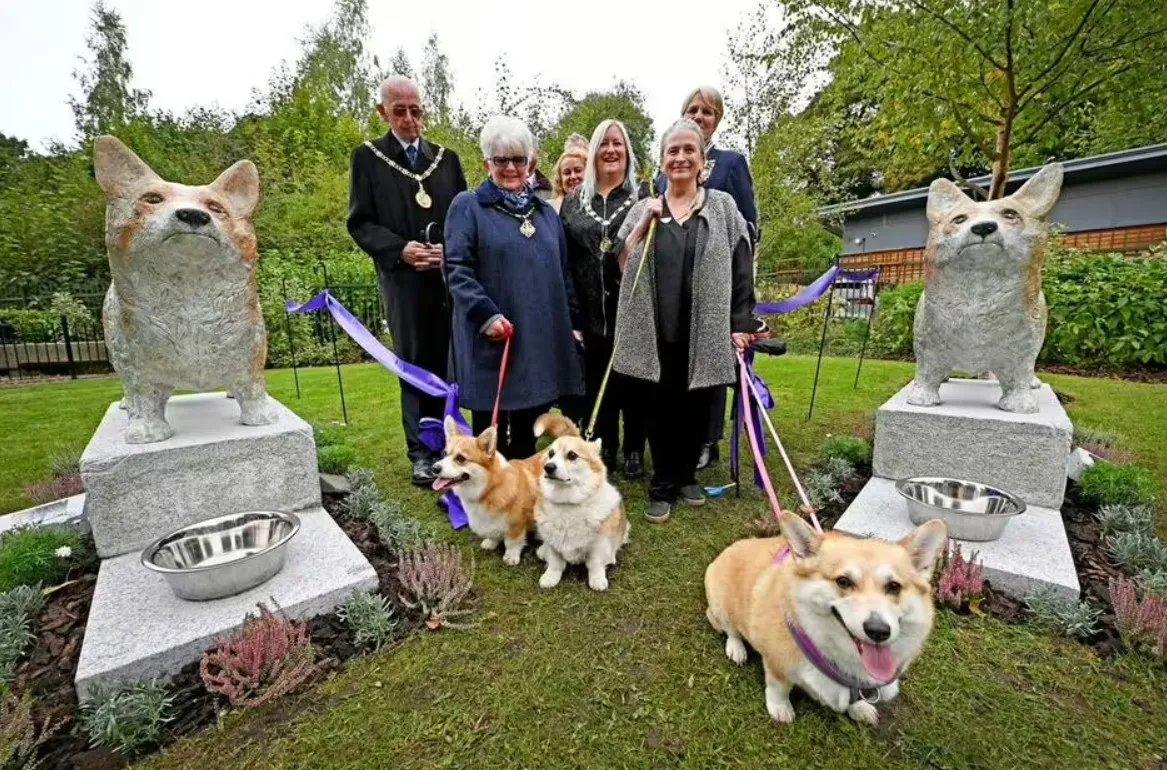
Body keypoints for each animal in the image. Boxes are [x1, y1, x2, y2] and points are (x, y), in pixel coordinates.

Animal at [93, 135, 275, 441]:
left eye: (216, 207)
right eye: (152, 199)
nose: (193, 215)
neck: (191, 298)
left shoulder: (251, 353)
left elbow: (252, 388)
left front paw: (260, 417)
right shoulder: (137, 364)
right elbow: (143, 395)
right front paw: (146, 432)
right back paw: (126, 406)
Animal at [434, 415, 578, 564]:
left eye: (460, 458)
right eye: (444, 453)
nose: (435, 468)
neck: (489, 488)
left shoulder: (516, 524)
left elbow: (512, 542)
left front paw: (511, 557)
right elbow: (493, 534)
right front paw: (491, 543)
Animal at [536, 434, 630, 590]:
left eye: (572, 455)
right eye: (550, 454)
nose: (548, 467)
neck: (567, 503)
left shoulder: (598, 544)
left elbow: (595, 564)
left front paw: (597, 579)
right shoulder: (552, 541)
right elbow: (555, 563)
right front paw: (550, 577)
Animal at [700, 513, 947, 723]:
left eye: (894, 586)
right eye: (843, 581)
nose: (878, 631)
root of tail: (733, 545)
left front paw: (860, 708)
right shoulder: (777, 663)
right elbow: (779, 688)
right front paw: (780, 709)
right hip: (720, 606)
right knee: (731, 630)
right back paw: (737, 649)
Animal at [910, 163, 1068, 415]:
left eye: (1011, 214)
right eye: (959, 219)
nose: (983, 227)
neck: (978, 290)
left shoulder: (1022, 349)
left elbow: (1019, 372)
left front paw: (1020, 405)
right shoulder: (927, 343)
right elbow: (927, 370)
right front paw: (922, 397)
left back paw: (1029, 383)